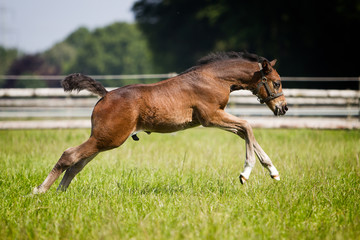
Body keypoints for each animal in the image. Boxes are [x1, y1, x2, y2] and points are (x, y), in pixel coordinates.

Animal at [33, 51, 286, 193]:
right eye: (276, 83)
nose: (283, 108)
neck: (214, 78)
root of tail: (106, 94)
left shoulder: (218, 117)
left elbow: (245, 132)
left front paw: (273, 171)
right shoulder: (210, 116)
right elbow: (247, 126)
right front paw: (245, 173)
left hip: (103, 140)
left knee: (77, 163)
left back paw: (59, 192)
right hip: (108, 139)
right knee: (69, 155)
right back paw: (40, 191)